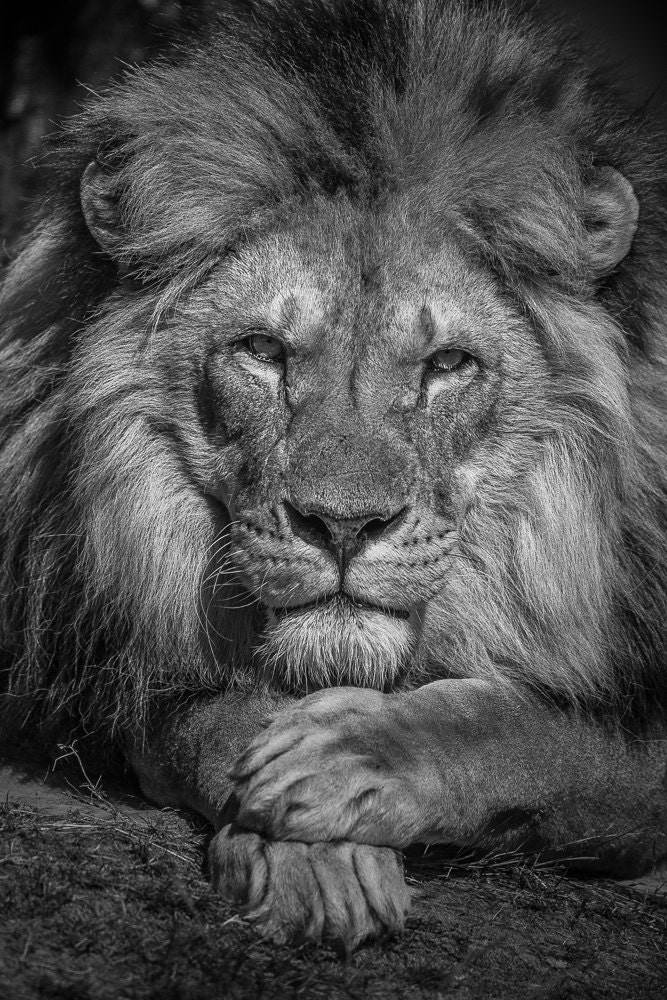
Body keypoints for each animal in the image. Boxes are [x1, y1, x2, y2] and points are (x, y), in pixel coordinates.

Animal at [1, 0, 666, 950]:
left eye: (447, 364)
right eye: (262, 351)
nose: (343, 527)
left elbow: (532, 736)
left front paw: (347, 761)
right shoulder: (126, 660)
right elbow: (213, 720)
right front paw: (314, 856)